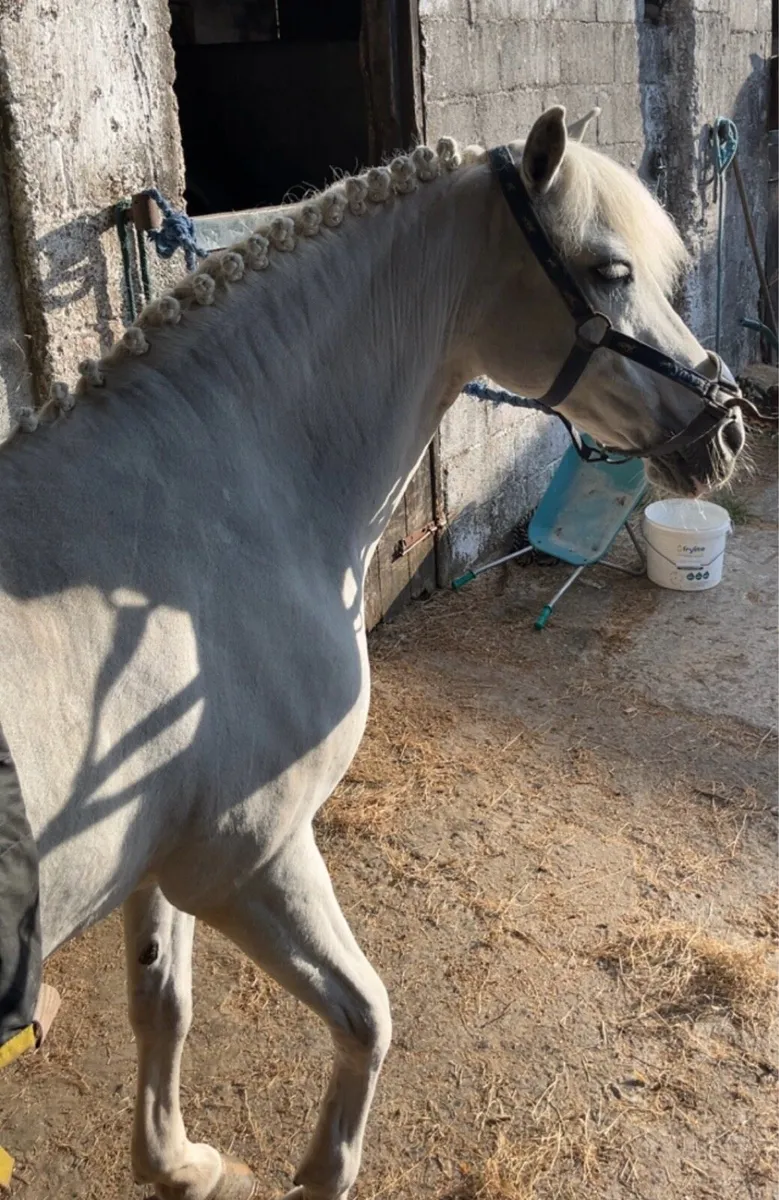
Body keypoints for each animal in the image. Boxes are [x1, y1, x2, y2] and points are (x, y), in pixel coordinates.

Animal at [0, 106, 748, 1199]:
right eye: (610, 270)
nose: (724, 426)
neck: (217, 504)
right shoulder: (249, 860)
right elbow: (366, 1018)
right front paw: (318, 1171)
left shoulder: (161, 862)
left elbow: (163, 1005)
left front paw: (177, 1164)